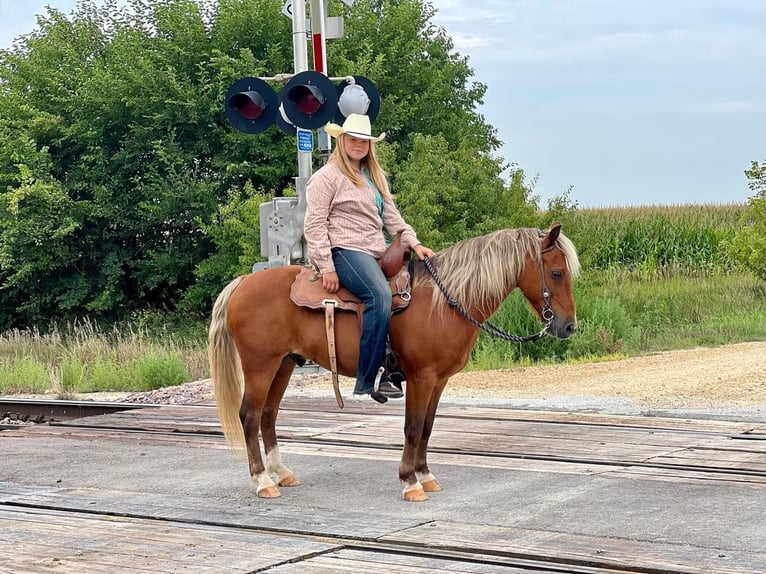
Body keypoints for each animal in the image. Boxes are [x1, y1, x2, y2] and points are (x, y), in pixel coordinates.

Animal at [210, 223, 584, 502]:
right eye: (556, 273)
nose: (568, 327)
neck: (444, 302)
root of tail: (242, 283)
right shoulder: (421, 377)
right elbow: (413, 427)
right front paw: (409, 482)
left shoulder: (439, 380)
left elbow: (428, 428)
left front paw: (426, 476)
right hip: (260, 366)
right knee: (250, 416)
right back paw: (262, 481)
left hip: (284, 364)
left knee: (269, 416)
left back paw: (282, 473)